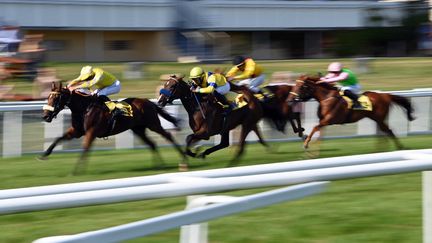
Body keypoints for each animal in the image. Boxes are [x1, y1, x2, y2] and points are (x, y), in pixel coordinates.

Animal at [41, 82, 187, 174]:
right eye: (48, 97)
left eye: (56, 98)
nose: (45, 116)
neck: (84, 108)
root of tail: (149, 102)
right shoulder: (77, 131)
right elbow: (58, 138)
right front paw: (44, 154)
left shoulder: (91, 132)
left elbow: (85, 148)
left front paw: (76, 170)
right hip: (138, 129)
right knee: (152, 144)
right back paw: (159, 165)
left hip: (153, 124)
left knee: (168, 136)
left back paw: (182, 158)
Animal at [286, 74, 416, 149]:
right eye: (294, 85)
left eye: (300, 87)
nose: (289, 100)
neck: (327, 97)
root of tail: (385, 95)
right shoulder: (323, 121)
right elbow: (318, 132)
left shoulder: (328, 120)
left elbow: (314, 128)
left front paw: (306, 144)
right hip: (377, 119)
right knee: (384, 132)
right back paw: (380, 149)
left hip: (379, 118)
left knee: (389, 131)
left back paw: (399, 147)